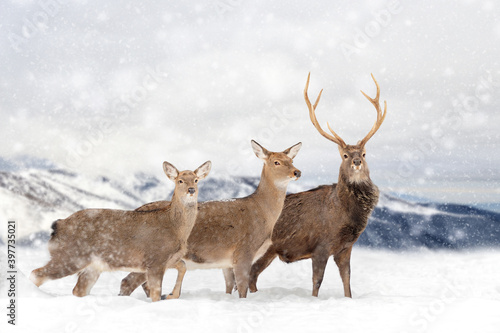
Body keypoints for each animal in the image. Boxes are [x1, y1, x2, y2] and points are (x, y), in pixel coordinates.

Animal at [31, 160, 211, 302]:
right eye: (180, 180)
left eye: (195, 180)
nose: (191, 190)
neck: (176, 230)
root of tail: (58, 225)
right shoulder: (155, 259)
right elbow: (155, 293)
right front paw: (166, 297)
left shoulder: (169, 259)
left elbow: (183, 266)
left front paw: (172, 295)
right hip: (70, 256)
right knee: (36, 274)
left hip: (92, 265)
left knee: (78, 290)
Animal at [119, 139, 302, 296]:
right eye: (276, 162)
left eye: (291, 160)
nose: (297, 172)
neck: (263, 213)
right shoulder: (244, 249)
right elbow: (242, 288)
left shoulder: (226, 261)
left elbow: (229, 287)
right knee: (127, 282)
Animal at [246, 72, 386, 296]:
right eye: (345, 155)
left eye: (364, 154)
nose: (357, 161)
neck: (345, 214)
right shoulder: (321, 245)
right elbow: (317, 282)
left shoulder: (345, 248)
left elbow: (347, 281)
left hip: (269, 251)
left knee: (252, 274)